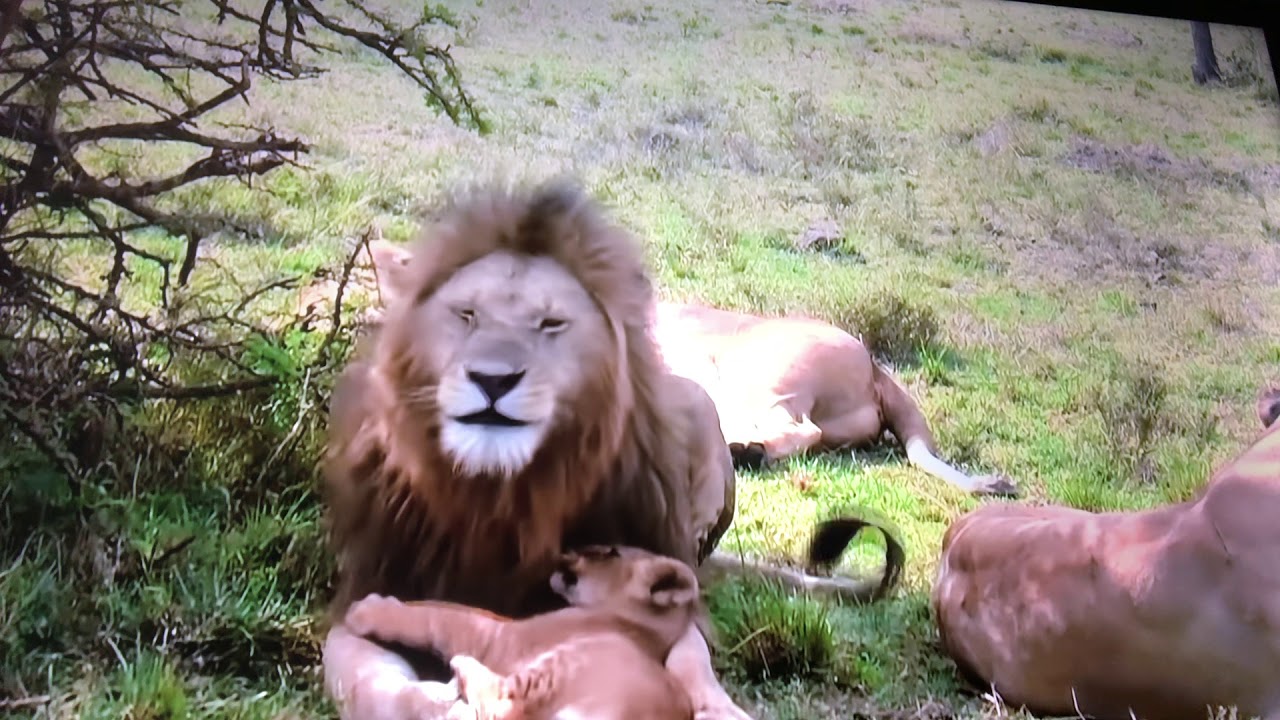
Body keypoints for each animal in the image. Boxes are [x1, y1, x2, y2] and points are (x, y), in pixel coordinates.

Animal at [342, 545, 704, 720]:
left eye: (612, 552)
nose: (567, 551)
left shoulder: (506, 639)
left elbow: (443, 615)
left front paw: (368, 609)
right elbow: (458, 607)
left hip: (569, 664)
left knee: (503, 706)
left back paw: (460, 669)